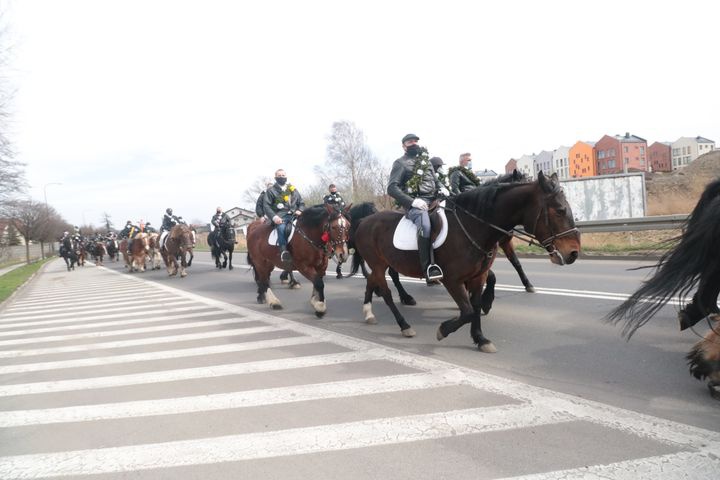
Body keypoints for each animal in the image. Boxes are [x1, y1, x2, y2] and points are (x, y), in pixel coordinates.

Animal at [352, 171, 584, 350]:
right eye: (560, 210)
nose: (573, 252)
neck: (473, 225)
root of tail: (364, 221)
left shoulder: (477, 276)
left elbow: (475, 305)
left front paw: (480, 338)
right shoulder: (451, 280)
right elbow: (469, 311)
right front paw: (443, 330)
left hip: (380, 264)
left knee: (372, 280)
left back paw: (368, 312)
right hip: (379, 264)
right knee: (386, 292)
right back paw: (404, 325)